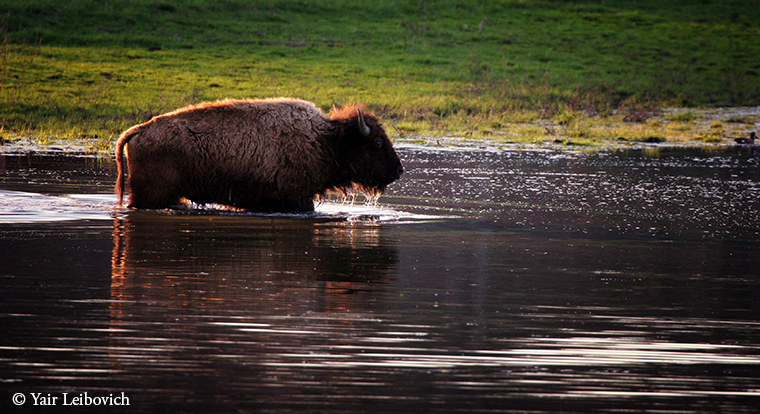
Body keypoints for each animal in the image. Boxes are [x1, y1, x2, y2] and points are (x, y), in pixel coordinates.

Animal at [114, 98, 404, 212]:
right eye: (377, 142)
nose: (398, 170)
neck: (325, 140)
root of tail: (139, 130)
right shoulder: (298, 198)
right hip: (152, 195)